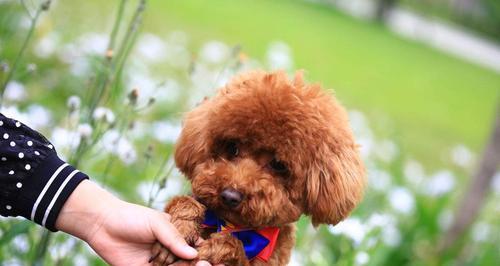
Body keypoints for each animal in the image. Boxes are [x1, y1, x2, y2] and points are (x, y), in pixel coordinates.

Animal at [150, 69, 366, 264]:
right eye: (232, 147)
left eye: (278, 164)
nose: (230, 196)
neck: (230, 225)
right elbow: (184, 203)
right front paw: (180, 229)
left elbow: (234, 249)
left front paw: (218, 247)